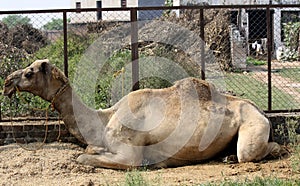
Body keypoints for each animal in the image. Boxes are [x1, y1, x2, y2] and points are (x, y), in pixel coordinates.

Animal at [2, 59, 282, 169]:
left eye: (29, 72)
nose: (6, 81)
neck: (103, 119)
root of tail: (261, 111)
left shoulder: (130, 154)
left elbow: (83, 157)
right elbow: (89, 150)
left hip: (253, 125)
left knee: (252, 152)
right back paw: (226, 157)